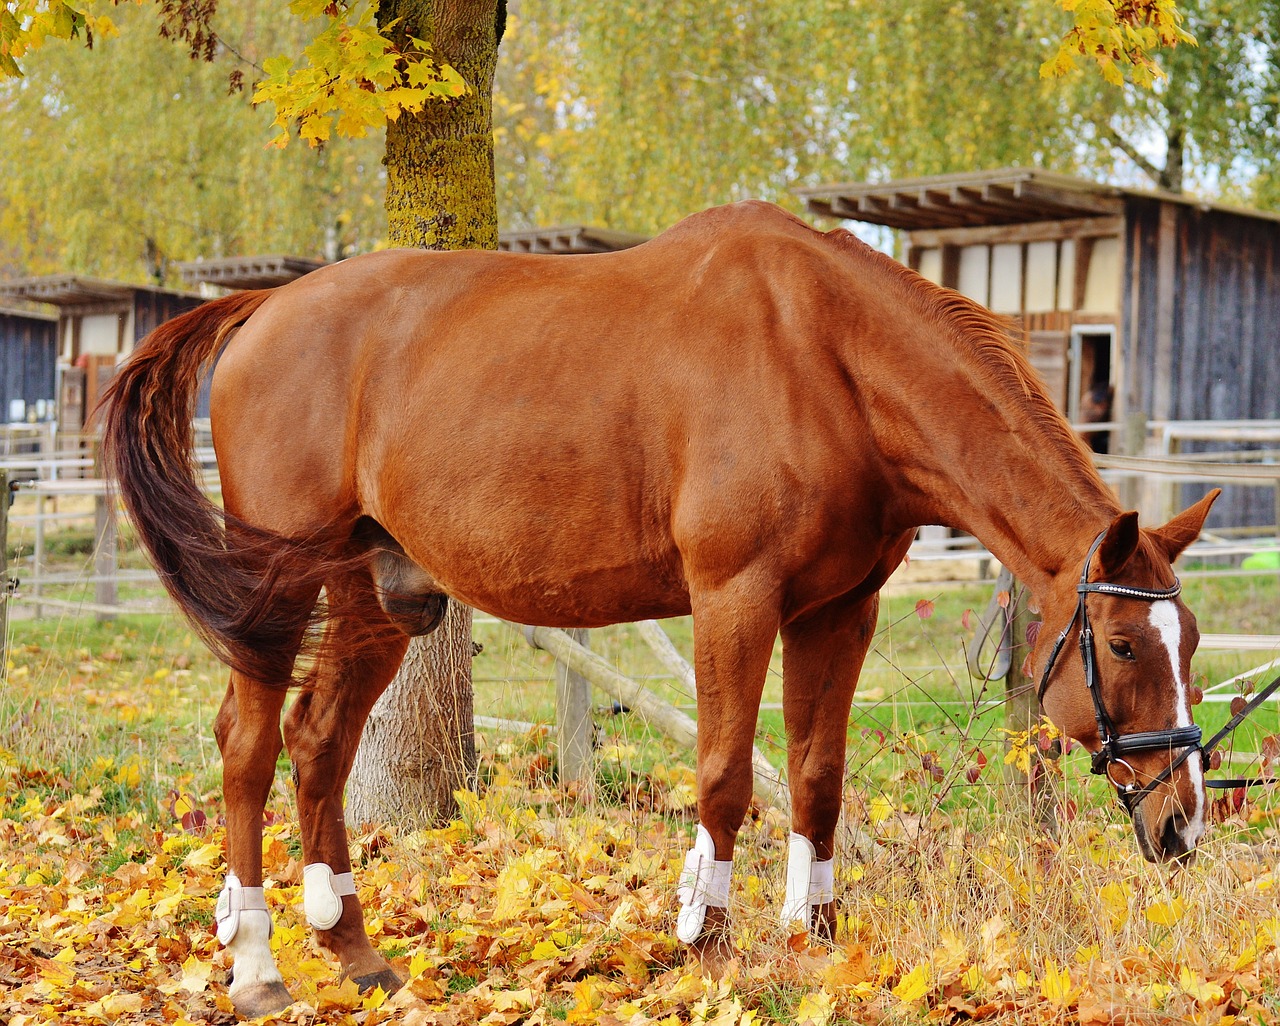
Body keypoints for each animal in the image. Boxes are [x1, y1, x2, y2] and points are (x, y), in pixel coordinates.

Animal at [104, 195, 1213, 1013]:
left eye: (1188, 640)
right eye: (1121, 644)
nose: (1181, 826)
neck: (823, 356)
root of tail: (263, 310)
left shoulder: (838, 611)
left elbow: (815, 779)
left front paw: (812, 941)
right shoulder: (734, 598)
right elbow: (723, 778)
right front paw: (704, 940)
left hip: (379, 596)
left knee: (319, 742)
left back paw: (354, 948)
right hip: (277, 595)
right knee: (249, 748)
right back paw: (257, 967)